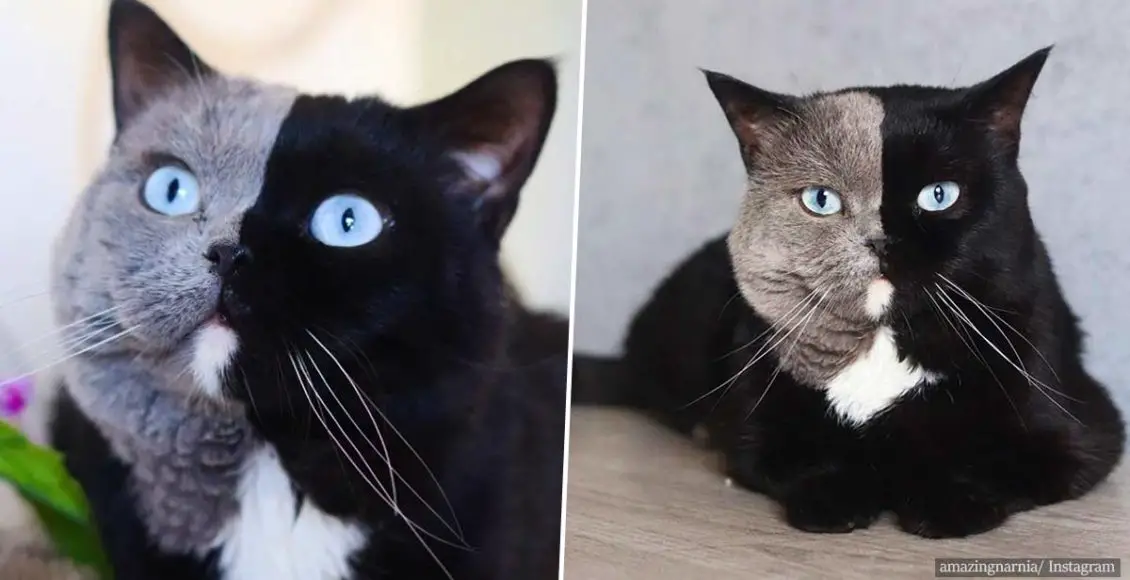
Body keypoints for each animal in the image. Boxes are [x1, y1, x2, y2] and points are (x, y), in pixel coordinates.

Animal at [574, 47, 1120, 540]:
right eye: (822, 200)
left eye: (939, 195)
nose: (877, 241)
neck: (880, 343)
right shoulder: (756, 427)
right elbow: (806, 458)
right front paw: (836, 497)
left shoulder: (1083, 434)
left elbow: (993, 462)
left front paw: (945, 501)